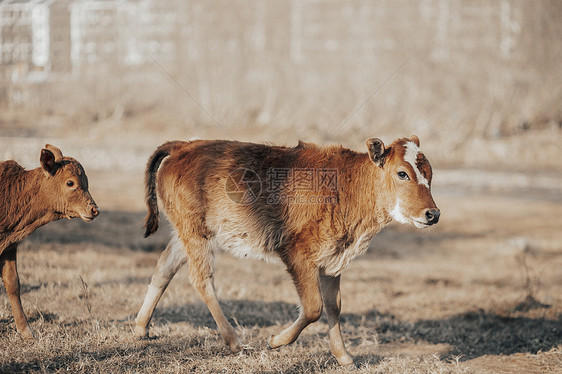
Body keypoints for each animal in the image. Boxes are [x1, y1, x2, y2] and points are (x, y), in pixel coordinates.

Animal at [135, 136, 438, 366]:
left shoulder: (332, 260)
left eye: (430, 175)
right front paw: (276, 341)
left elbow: (334, 306)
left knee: (164, 268)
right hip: (197, 234)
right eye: (402, 173)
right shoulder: (297, 254)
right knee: (201, 279)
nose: (433, 214)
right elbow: (314, 307)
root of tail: (183, 146)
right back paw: (235, 342)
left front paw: (344, 356)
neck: (348, 185)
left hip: (186, 233)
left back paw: (141, 328)